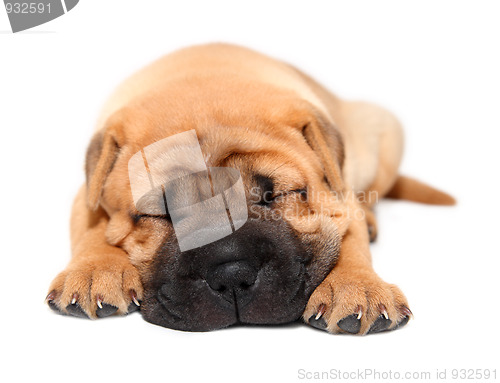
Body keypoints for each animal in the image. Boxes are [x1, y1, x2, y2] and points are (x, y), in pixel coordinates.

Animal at [45, 43, 456, 334]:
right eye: (161, 213)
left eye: (276, 196)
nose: (231, 274)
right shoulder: (86, 192)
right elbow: (92, 227)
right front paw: (94, 271)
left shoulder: (340, 195)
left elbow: (350, 242)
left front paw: (358, 288)